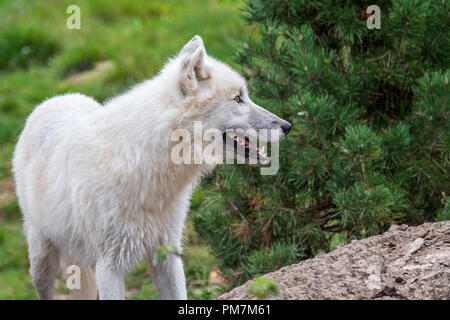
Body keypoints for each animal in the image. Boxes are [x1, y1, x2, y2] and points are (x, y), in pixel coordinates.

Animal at [13, 35, 292, 300]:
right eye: (237, 99)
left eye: (245, 96)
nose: (287, 126)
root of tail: (55, 99)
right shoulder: (109, 267)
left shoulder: (168, 253)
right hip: (41, 262)